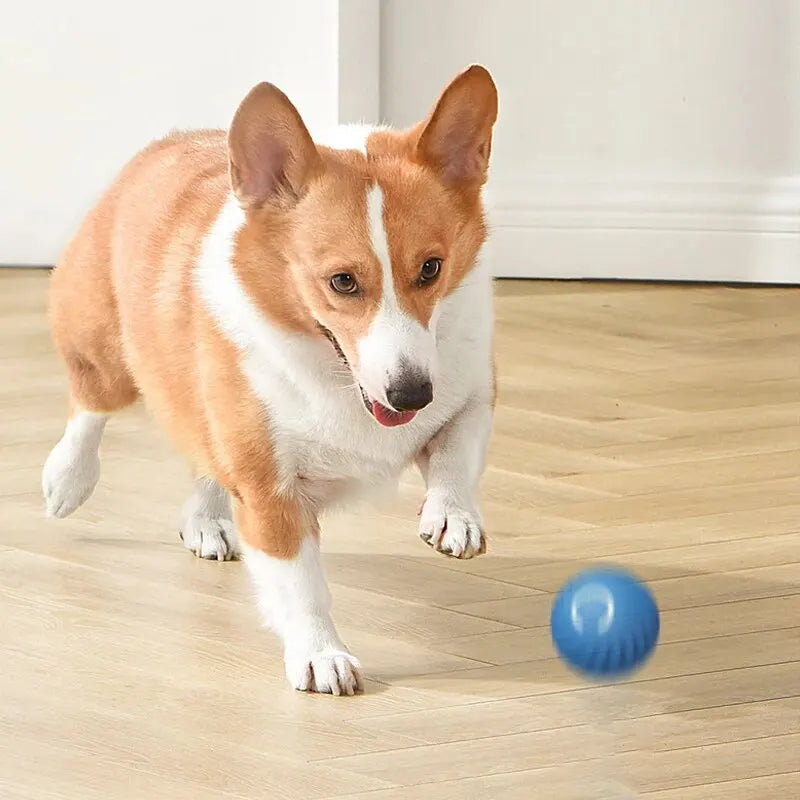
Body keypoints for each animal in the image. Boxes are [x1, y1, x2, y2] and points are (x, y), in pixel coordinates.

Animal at [43, 65, 500, 696]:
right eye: (342, 281)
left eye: (432, 268)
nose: (411, 394)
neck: (341, 382)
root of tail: (165, 143)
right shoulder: (269, 489)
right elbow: (301, 585)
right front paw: (321, 656)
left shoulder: (470, 393)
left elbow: (457, 446)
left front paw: (453, 517)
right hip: (109, 354)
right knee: (90, 403)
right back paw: (68, 479)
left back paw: (206, 521)